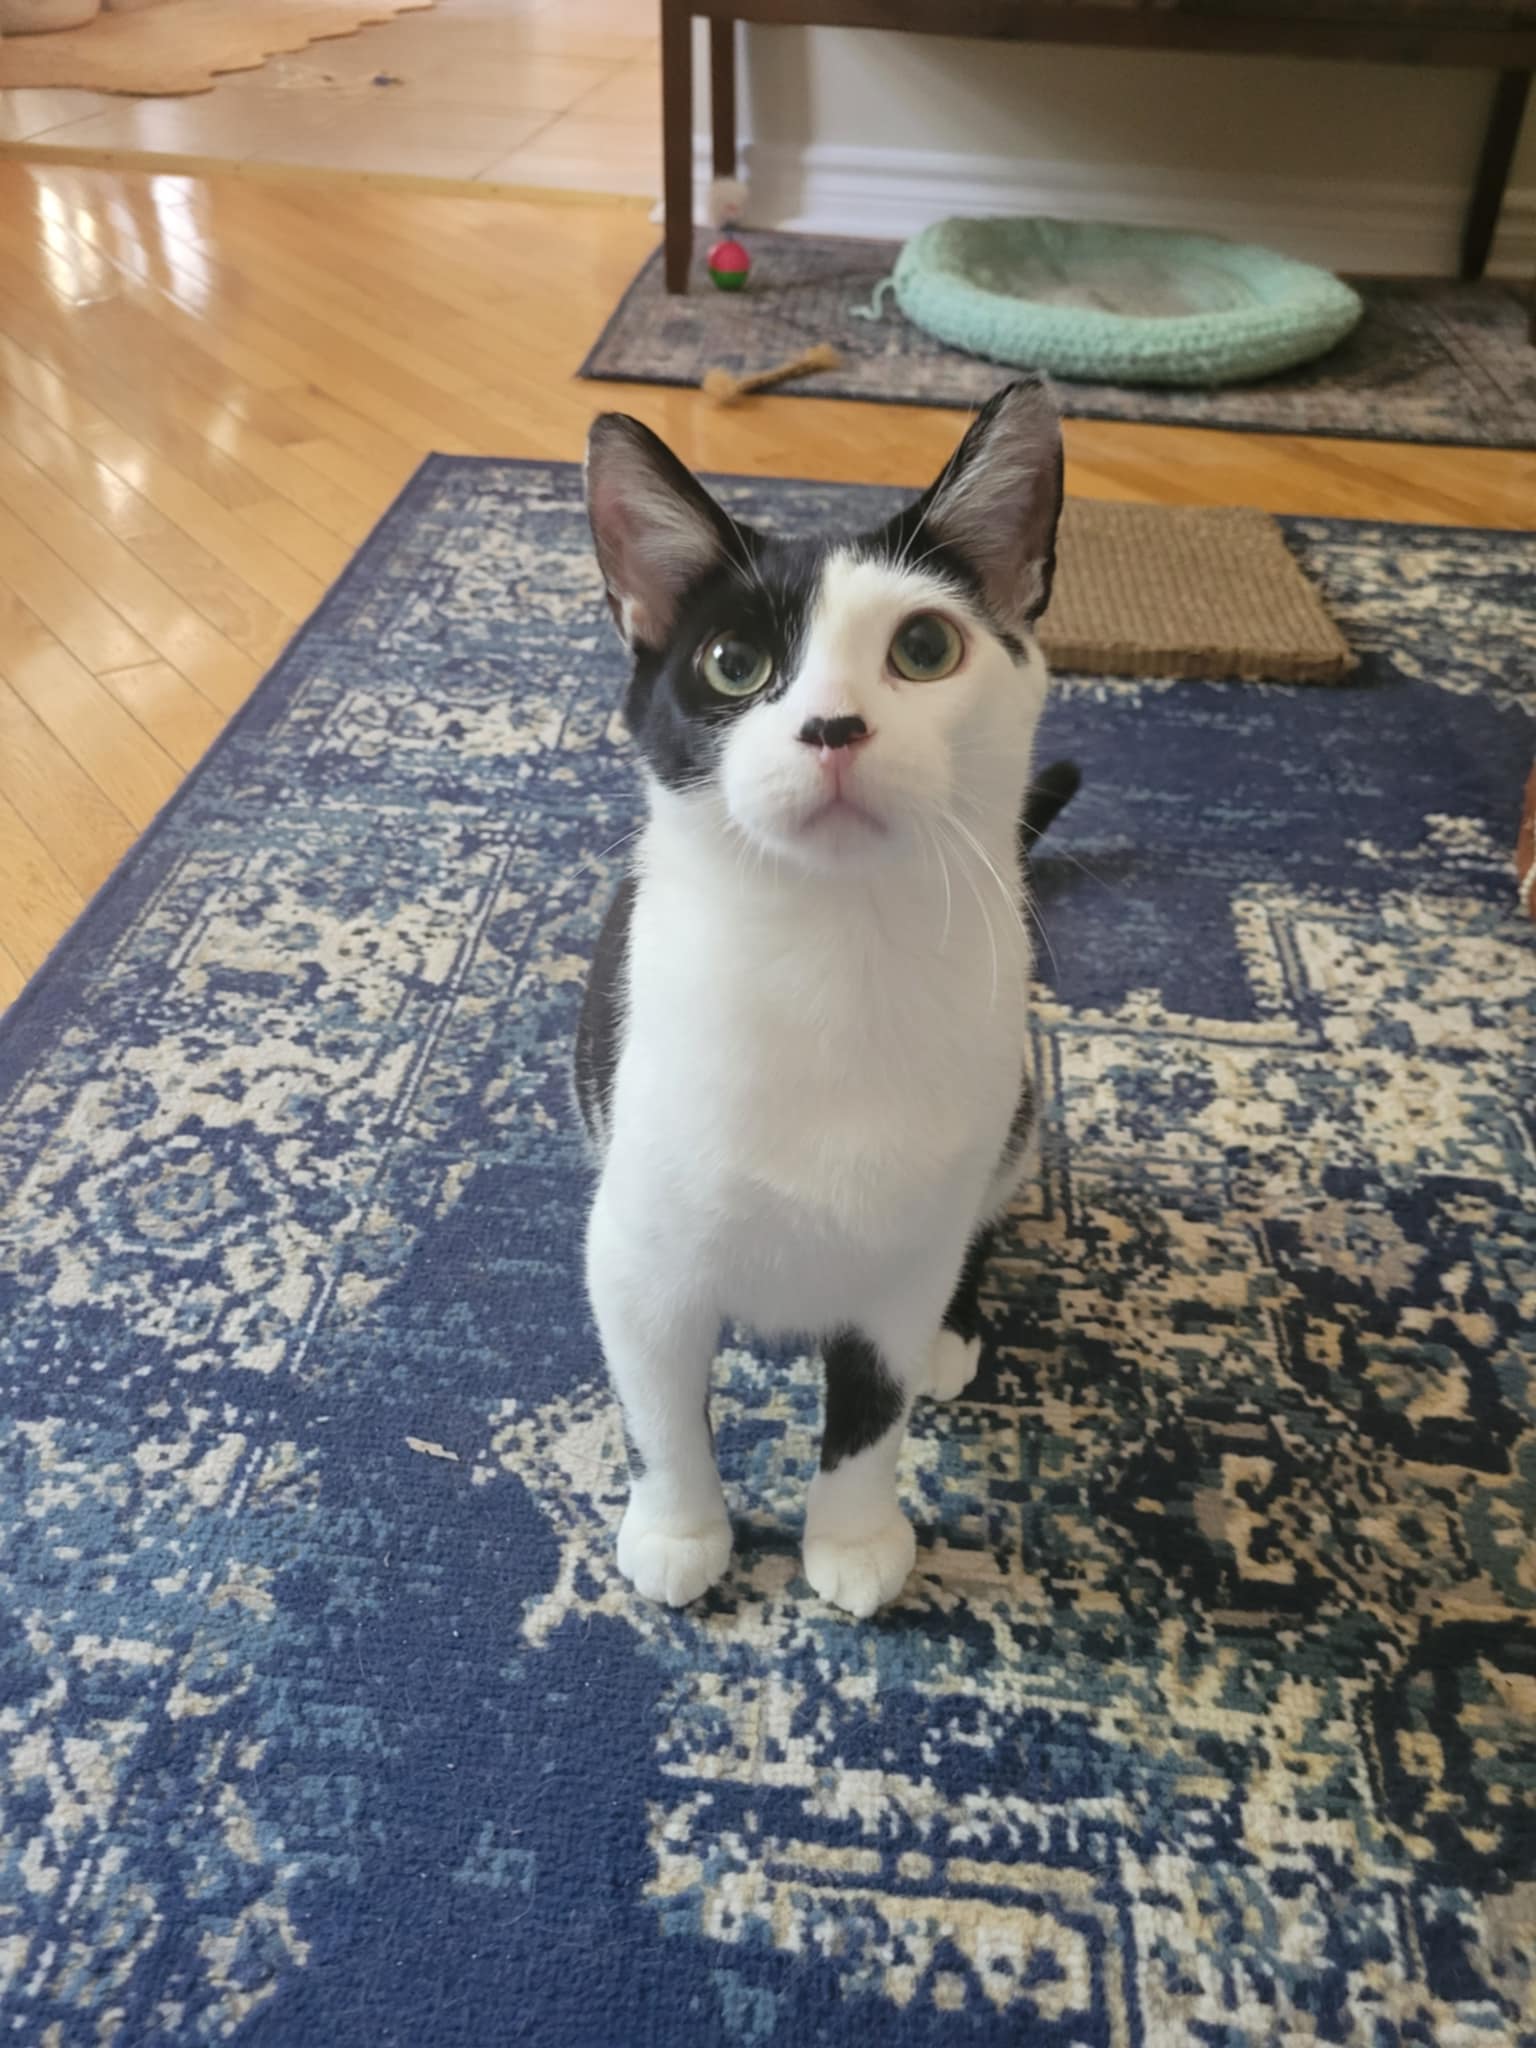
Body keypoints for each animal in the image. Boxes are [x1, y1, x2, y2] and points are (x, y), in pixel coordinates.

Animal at [573, 376, 1073, 1605]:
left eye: (926, 646)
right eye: (732, 664)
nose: (833, 726)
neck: (830, 956)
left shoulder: (898, 1260)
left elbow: (872, 1412)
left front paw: (852, 1543)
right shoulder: (634, 1251)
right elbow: (662, 1408)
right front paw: (681, 1531)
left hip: (1012, 1119)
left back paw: (954, 1333)